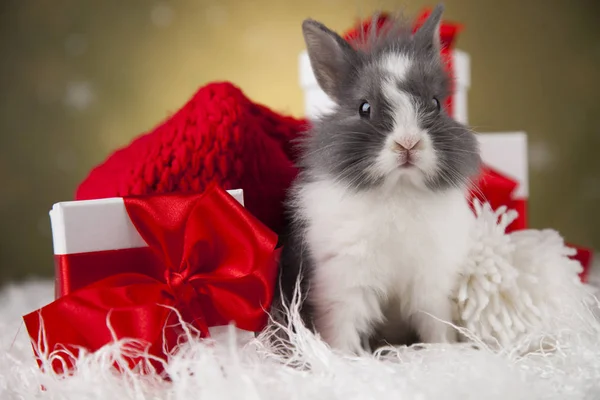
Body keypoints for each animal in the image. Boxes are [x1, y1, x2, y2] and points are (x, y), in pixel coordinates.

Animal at [274, 2, 480, 354]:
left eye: (436, 104)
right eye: (364, 108)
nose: (408, 143)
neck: (399, 189)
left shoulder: (431, 282)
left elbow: (435, 322)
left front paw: (443, 352)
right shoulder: (345, 283)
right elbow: (343, 326)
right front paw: (342, 358)